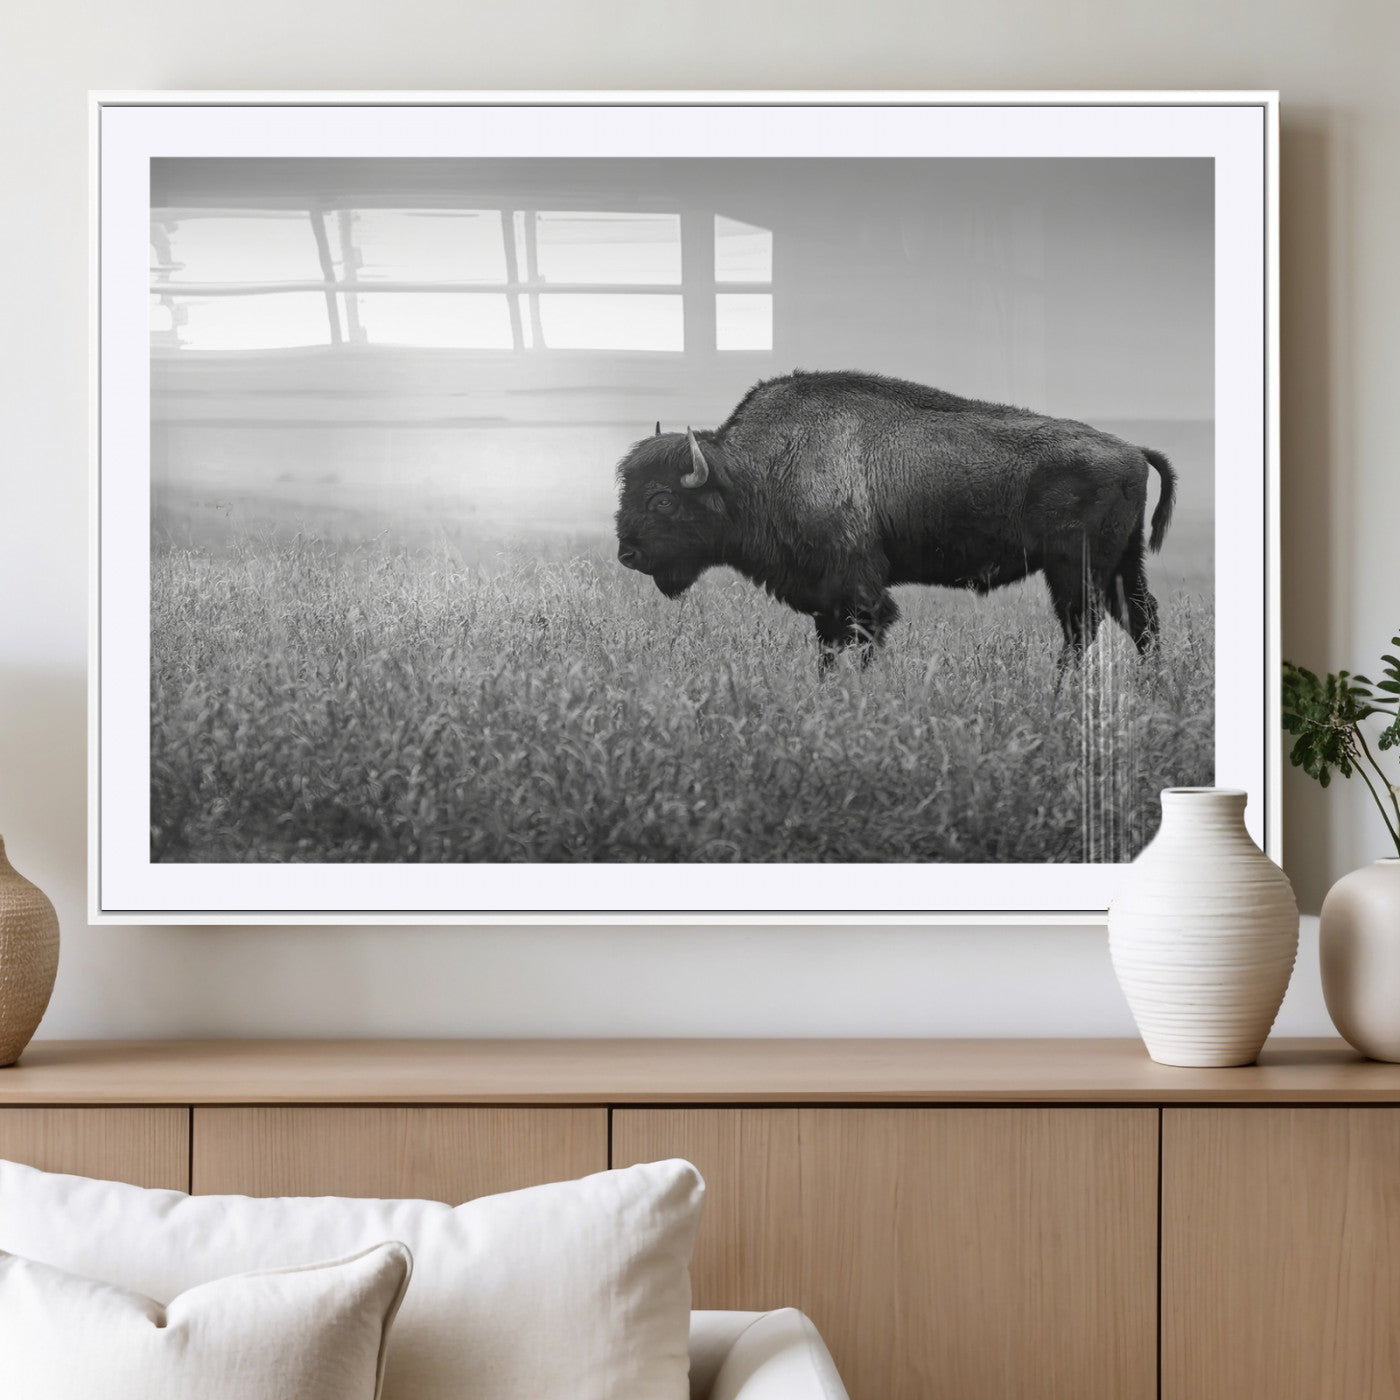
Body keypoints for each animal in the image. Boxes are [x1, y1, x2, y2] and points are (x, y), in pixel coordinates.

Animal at [614, 370, 1176, 674]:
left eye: (662, 500)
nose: (627, 554)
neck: (755, 470)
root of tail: (1132, 449)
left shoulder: (860, 590)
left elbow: (864, 638)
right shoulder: (826, 599)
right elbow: (829, 647)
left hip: (1073, 569)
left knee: (1083, 627)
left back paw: (1059, 691)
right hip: (1122, 563)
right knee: (1140, 618)